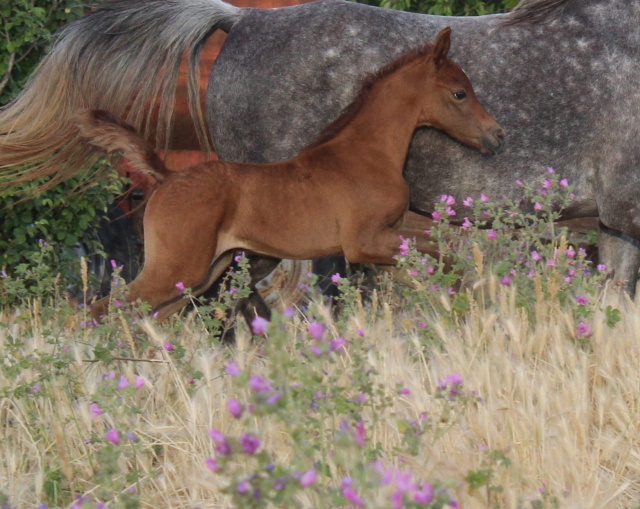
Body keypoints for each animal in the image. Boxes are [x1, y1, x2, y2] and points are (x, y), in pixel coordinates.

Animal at [79, 27, 500, 320]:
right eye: (459, 93)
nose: (496, 135)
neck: (368, 154)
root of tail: (167, 177)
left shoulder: (393, 228)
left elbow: (439, 247)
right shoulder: (362, 242)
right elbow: (436, 252)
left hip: (199, 275)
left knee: (145, 318)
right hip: (175, 269)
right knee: (101, 310)